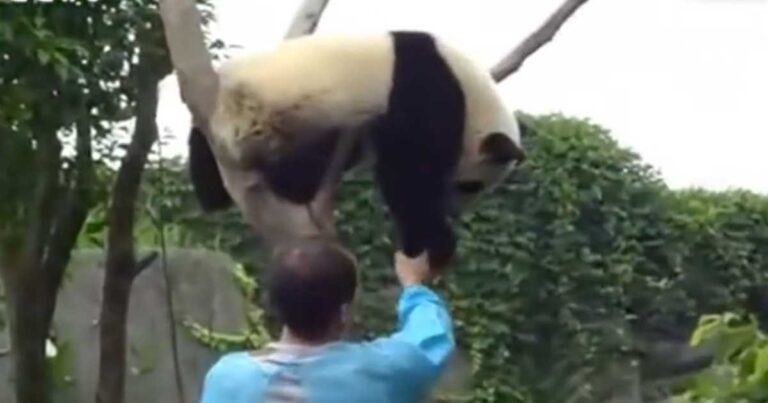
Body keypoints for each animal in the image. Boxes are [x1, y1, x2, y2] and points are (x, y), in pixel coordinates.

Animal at [189, 31, 526, 269]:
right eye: (472, 185)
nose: (456, 211)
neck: (473, 92)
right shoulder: (425, 90)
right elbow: (407, 175)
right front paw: (432, 242)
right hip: (261, 119)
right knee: (291, 169)